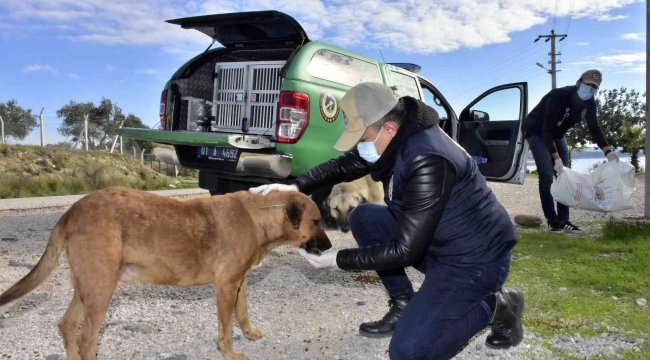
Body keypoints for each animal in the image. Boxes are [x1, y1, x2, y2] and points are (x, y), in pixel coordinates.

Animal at [0, 187, 332, 360]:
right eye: (317, 221)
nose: (330, 246)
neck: (256, 216)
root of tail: (72, 211)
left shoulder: (240, 281)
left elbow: (243, 312)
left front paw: (248, 332)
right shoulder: (226, 287)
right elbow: (225, 330)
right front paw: (231, 353)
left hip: (87, 287)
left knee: (67, 325)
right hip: (100, 290)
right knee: (86, 339)